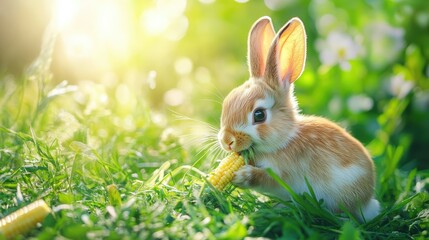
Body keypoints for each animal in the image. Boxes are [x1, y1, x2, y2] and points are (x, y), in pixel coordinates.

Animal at [217, 15, 378, 220]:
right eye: (226, 103)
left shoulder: (283, 174)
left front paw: (241, 176)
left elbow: (266, 179)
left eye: (259, 115)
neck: (284, 140)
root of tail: (368, 202)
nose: (227, 141)